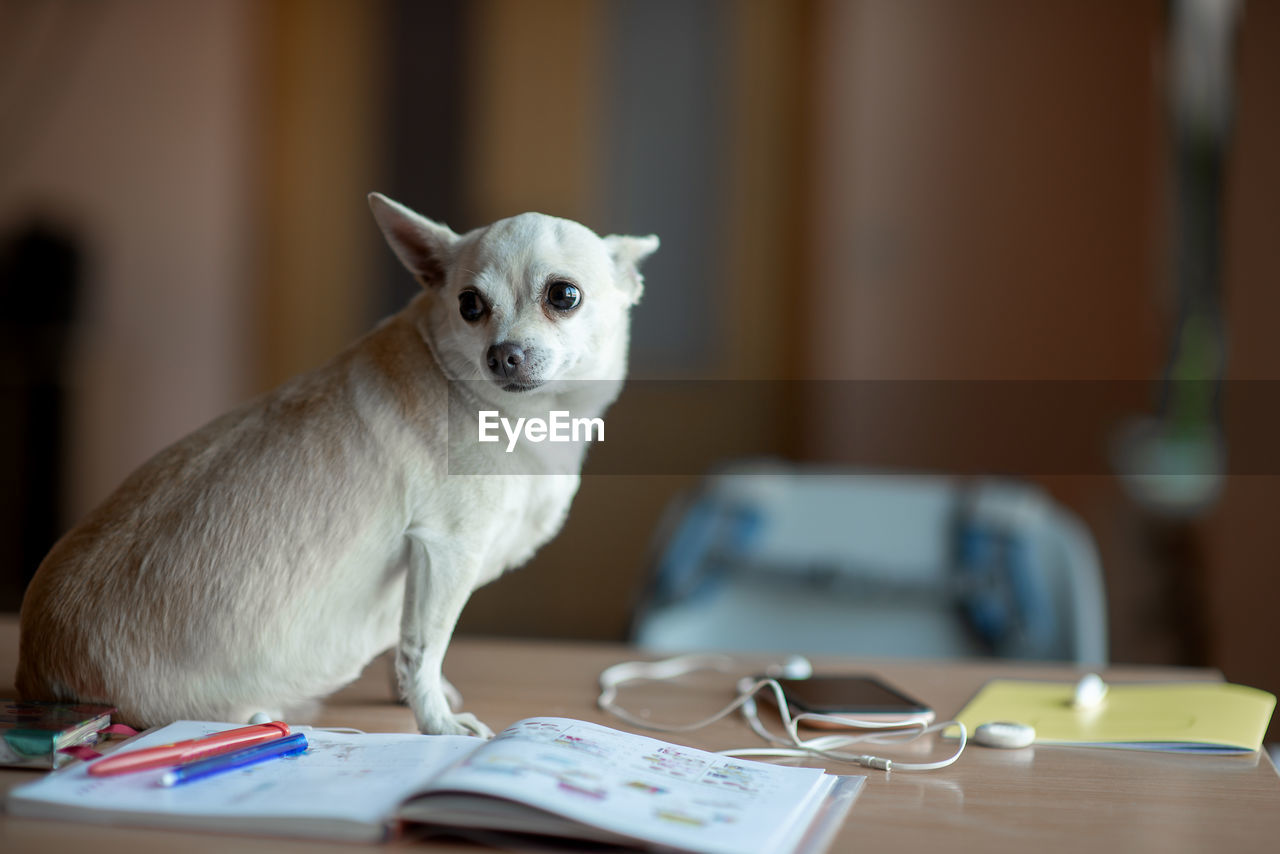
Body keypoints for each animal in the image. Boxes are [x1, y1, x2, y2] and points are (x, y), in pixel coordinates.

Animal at [17, 192, 660, 737]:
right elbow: (427, 645)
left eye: (564, 296)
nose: (502, 355)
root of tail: (33, 668)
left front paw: (410, 697)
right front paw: (436, 723)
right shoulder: (447, 552)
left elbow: (407, 641)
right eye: (469, 305)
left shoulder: (421, 567)